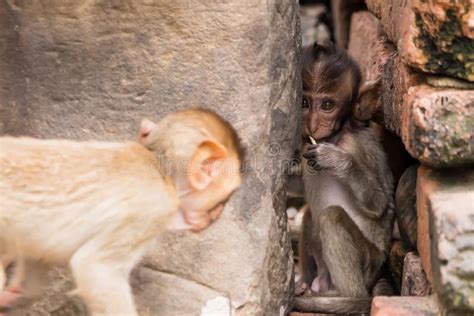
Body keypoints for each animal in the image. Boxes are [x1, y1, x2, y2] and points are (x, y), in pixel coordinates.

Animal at [0, 108, 243, 316]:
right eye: (224, 198)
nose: (217, 213)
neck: (161, 170)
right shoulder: (151, 211)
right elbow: (96, 269)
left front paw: (14, 297)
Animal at [294, 43, 394, 314]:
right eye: (304, 102)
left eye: (327, 105)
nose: (312, 124)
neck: (336, 136)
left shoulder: (360, 145)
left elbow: (379, 203)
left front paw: (337, 161)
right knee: (311, 216)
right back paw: (306, 284)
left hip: (369, 264)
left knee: (332, 216)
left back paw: (349, 298)